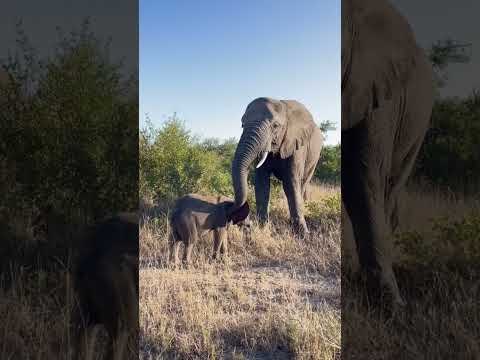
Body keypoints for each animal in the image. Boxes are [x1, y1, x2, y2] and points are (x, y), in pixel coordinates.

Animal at [230, 97, 320, 235]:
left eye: (275, 126)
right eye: (242, 125)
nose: (247, 224)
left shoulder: (296, 144)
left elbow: (291, 183)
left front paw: (303, 234)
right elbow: (262, 183)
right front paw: (262, 227)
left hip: (314, 158)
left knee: (302, 182)